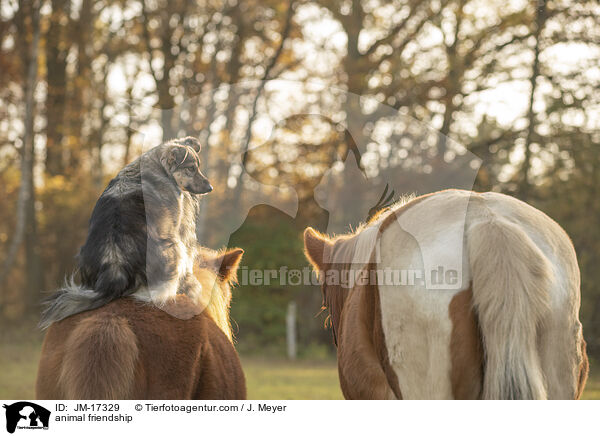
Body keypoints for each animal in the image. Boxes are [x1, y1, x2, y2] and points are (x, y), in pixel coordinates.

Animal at [38, 136, 212, 328]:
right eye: (191, 168)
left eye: (197, 167)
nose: (210, 188)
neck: (159, 167)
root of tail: (115, 265)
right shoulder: (176, 229)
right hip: (173, 247)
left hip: (82, 256)